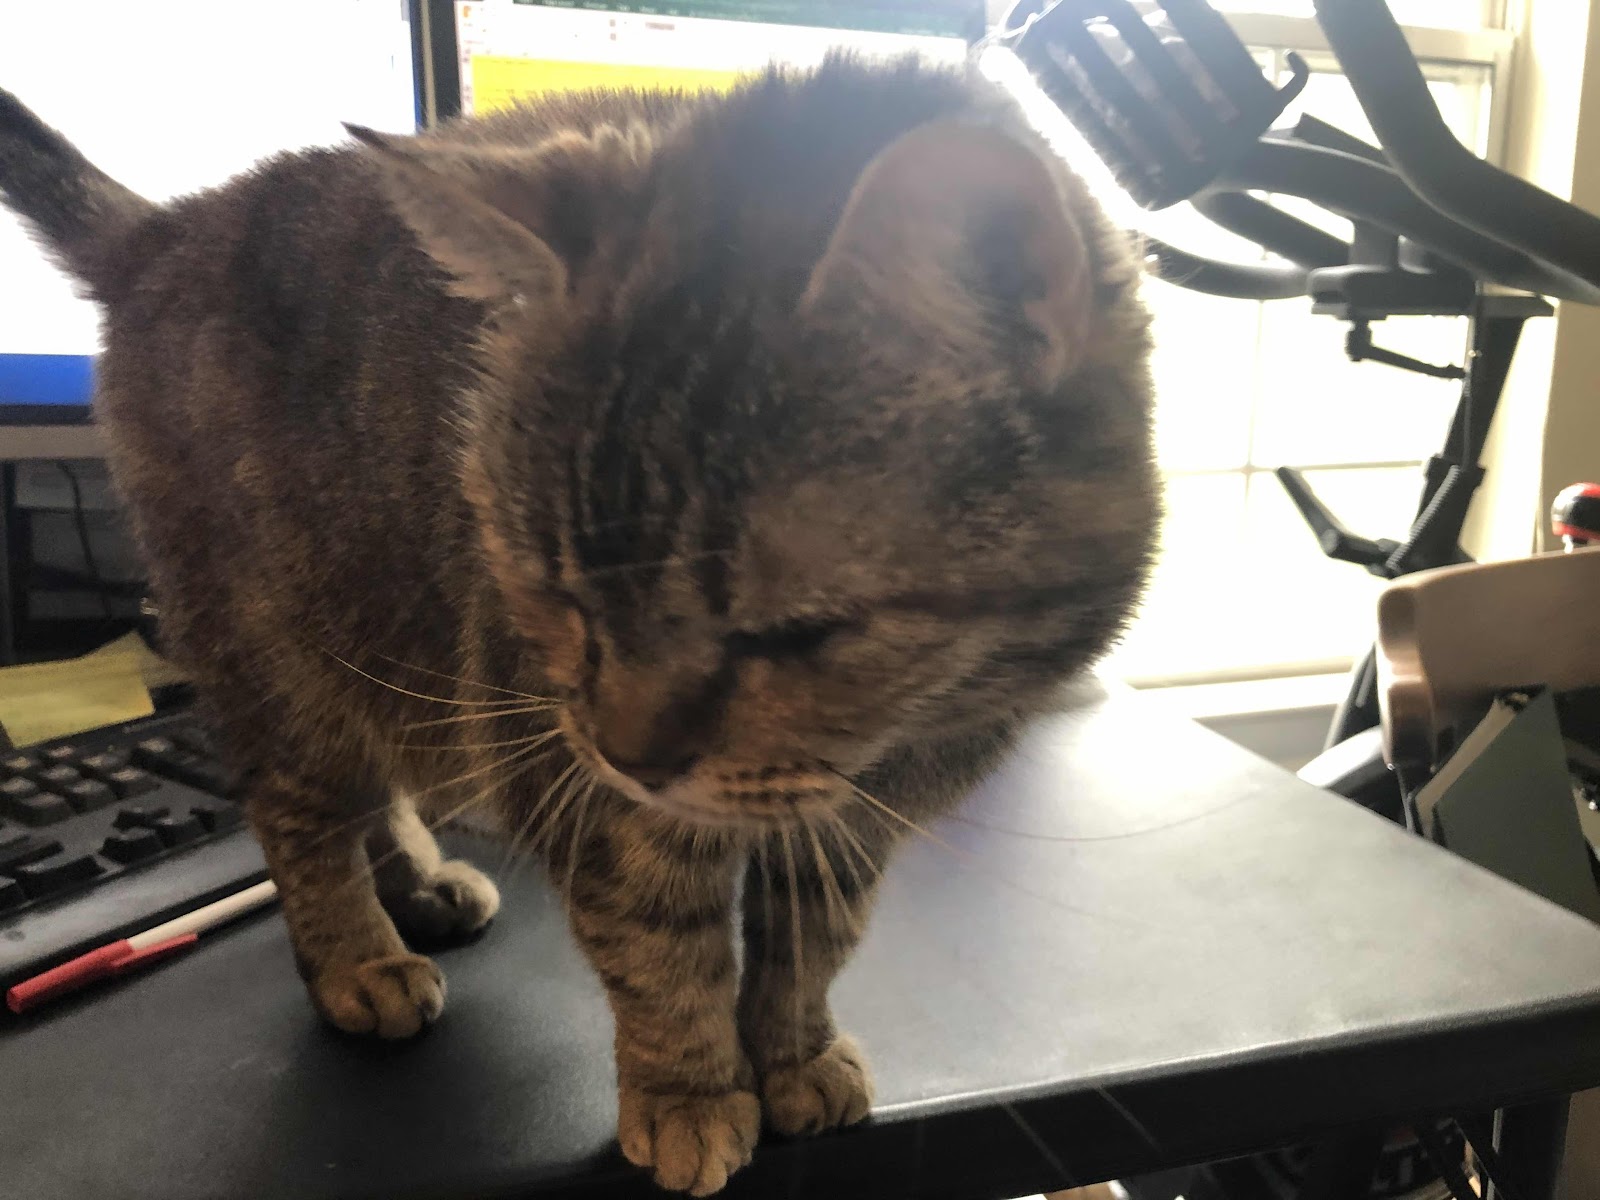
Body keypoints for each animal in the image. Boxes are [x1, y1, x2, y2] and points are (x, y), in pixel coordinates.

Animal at [0, 53, 1157, 1195]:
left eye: (790, 633)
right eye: (557, 592)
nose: (627, 755)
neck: (899, 737)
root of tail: (170, 228)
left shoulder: (854, 823)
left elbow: (814, 935)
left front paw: (795, 1054)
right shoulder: (582, 784)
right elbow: (661, 947)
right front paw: (691, 1094)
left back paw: (419, 883)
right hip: (282, 650)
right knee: (300, 815)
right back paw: (359, 959)